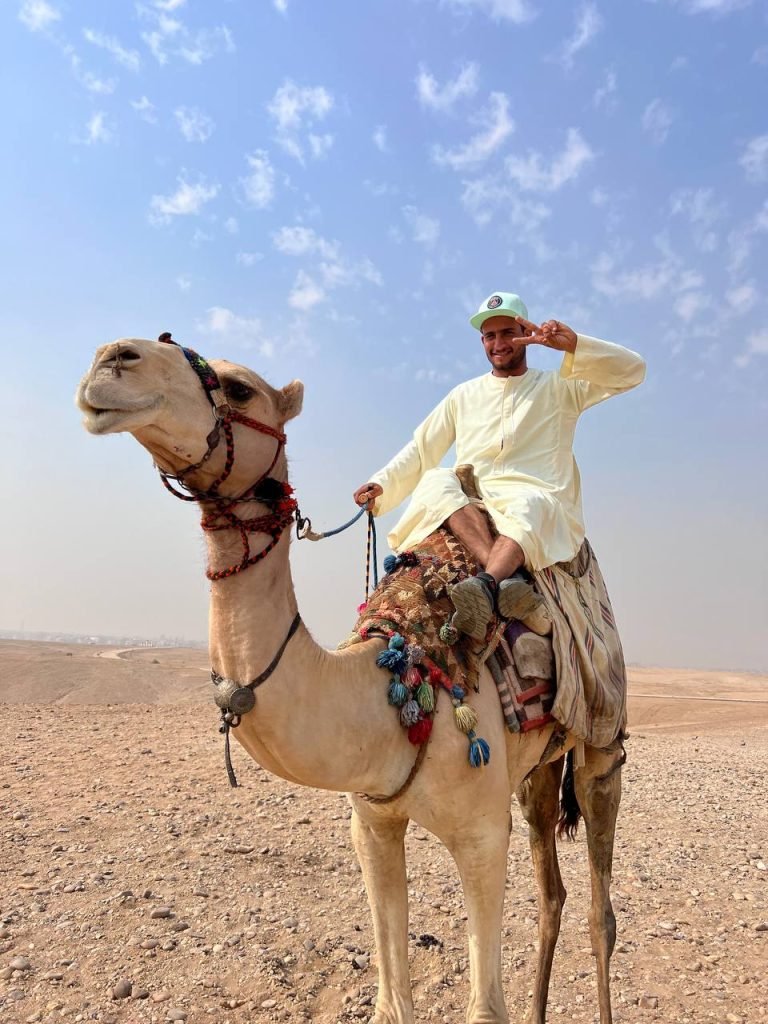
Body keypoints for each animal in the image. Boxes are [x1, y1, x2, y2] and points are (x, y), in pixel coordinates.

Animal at [77, 337, 623, 1024]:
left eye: (239, 388)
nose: (111, 359)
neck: (392, 685)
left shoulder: (479, 833)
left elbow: (484, 1006)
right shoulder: (373, 822)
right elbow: (391, 1000)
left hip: (601, 739)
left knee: (599, 911)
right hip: (538, 765)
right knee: (552, 889)